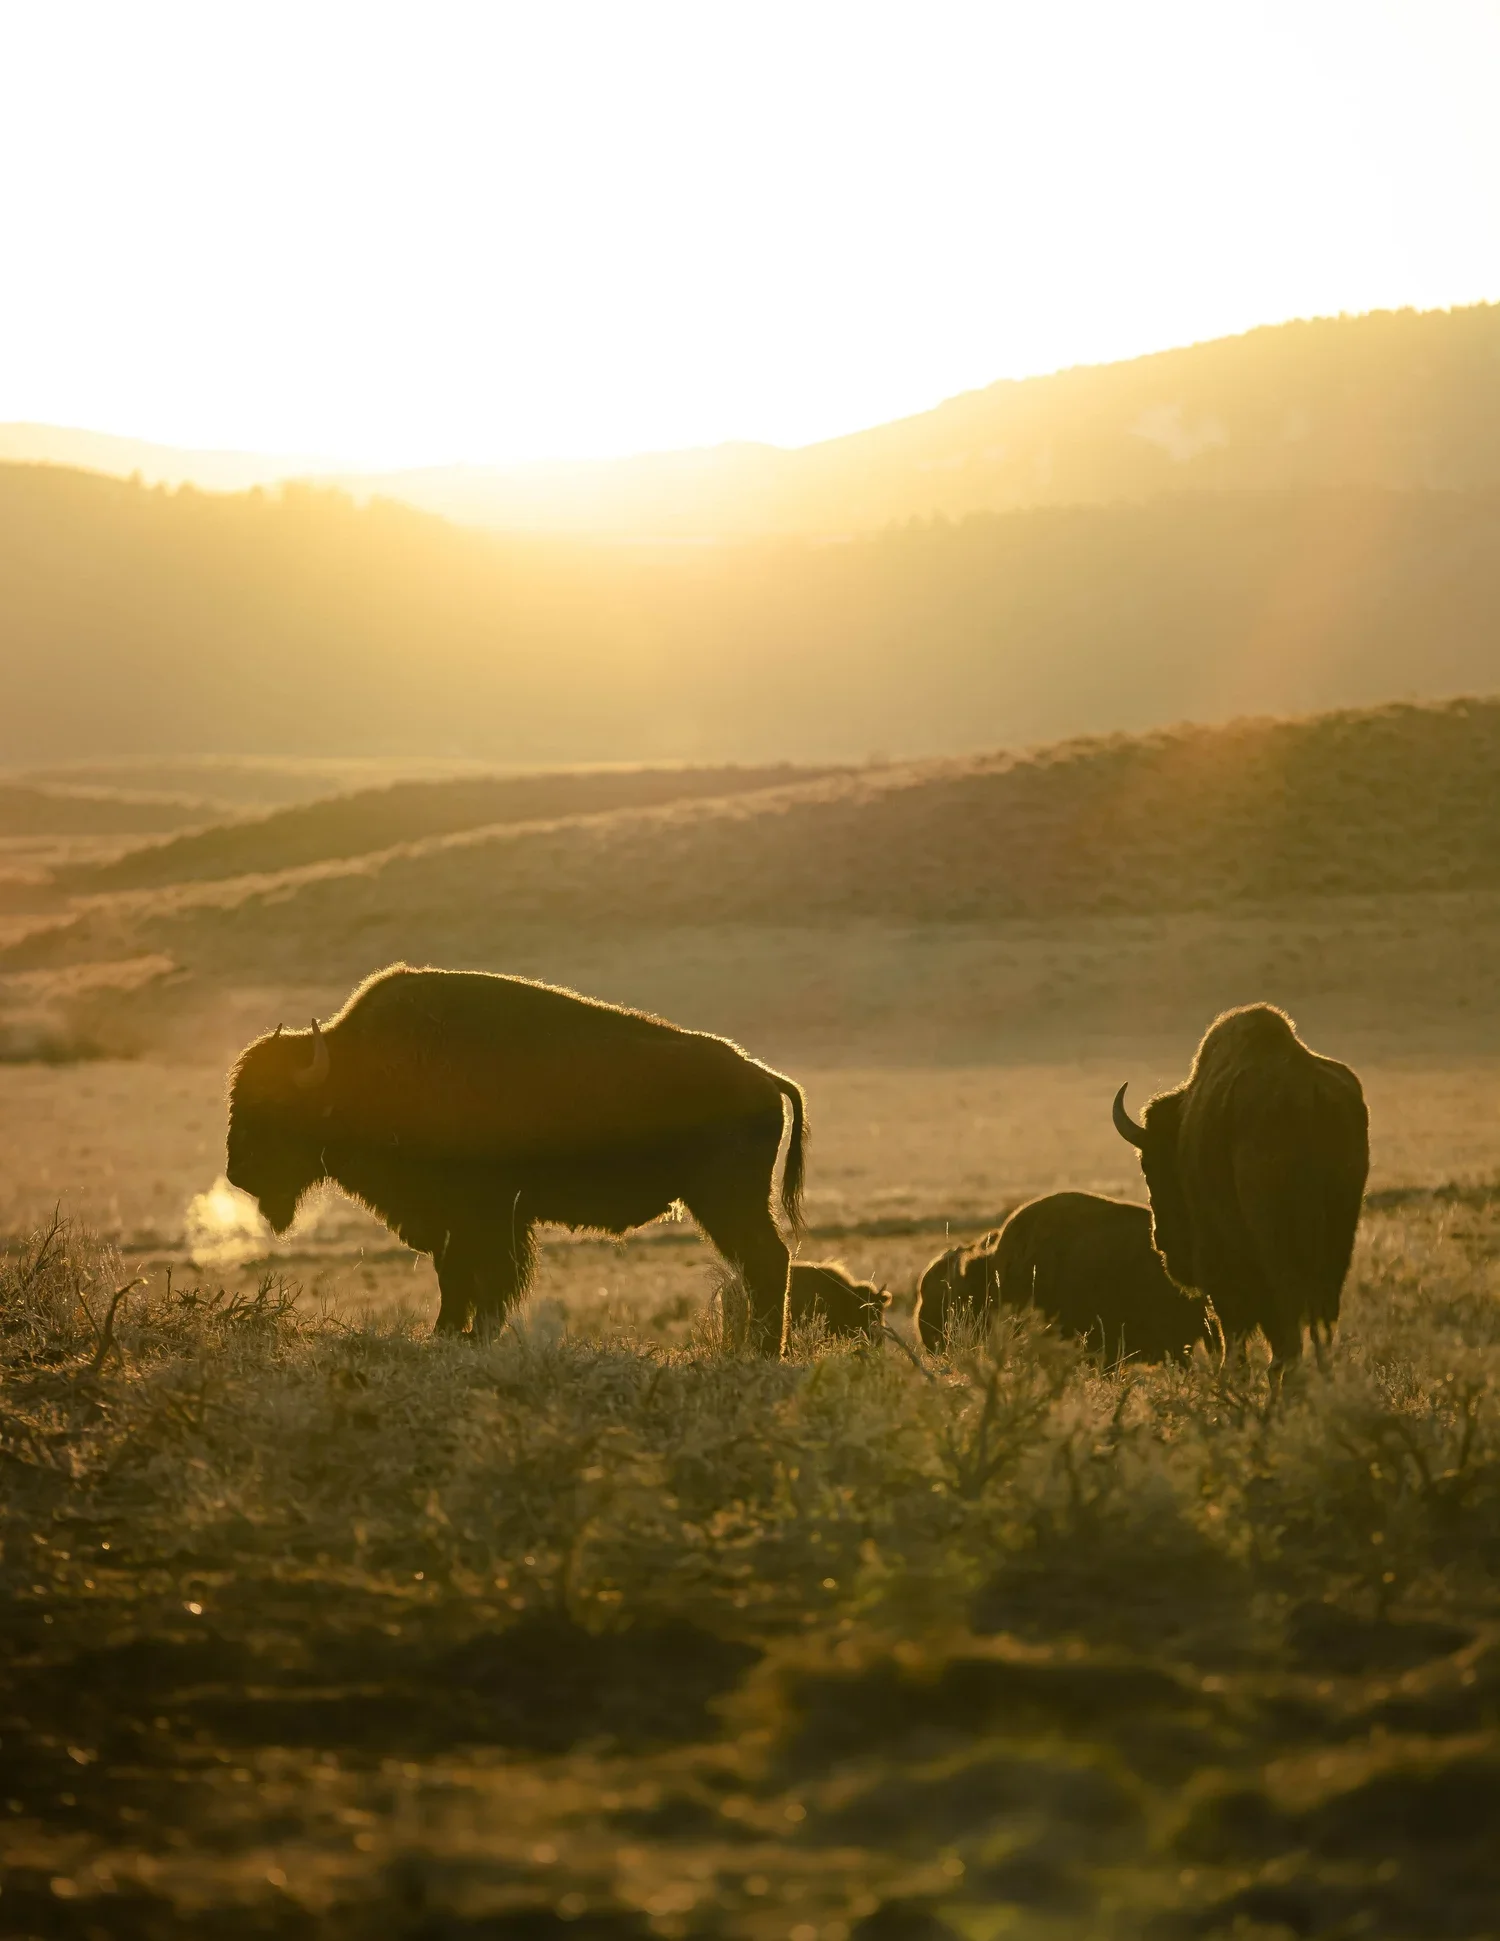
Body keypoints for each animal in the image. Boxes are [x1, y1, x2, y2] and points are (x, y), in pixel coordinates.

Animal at [226, 963, 807, 1352]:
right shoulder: (458, 1222)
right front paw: (451, 1333)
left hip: (727, 1201)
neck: (358, 1072)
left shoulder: (480, 1218)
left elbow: (481, 1278)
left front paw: (461, 1335)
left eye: (275, 1107)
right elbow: (460, 1277)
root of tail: (763, 1077)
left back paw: (760, 1354)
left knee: (767, 1262)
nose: (237, 1172)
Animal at [1112, 1003, 1368, 1377]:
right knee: (1320, 1324)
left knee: (1287, 1322)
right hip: (1336, 1242)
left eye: (1149, 1168)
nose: (1160, 1239)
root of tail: (1307, 1097)